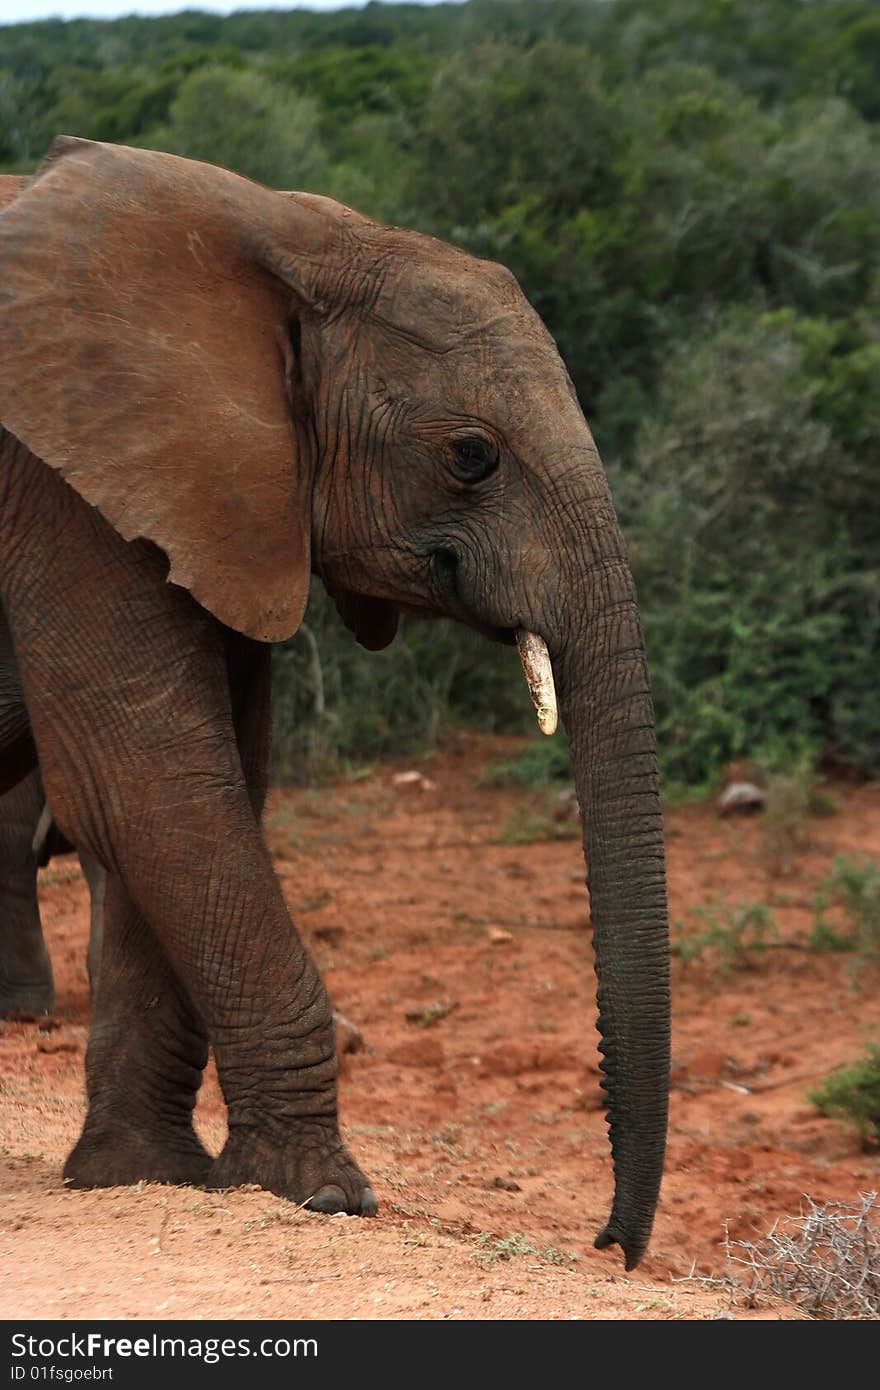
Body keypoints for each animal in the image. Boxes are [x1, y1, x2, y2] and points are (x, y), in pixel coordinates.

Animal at [0, 135, 670, 1267]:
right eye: (471, 457)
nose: (607, 1246)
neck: (294, 236)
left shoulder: (209, 496)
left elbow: (198, 788)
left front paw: (140, 1176)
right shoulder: (62, 485)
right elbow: (148, 786)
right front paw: (316, 1193)